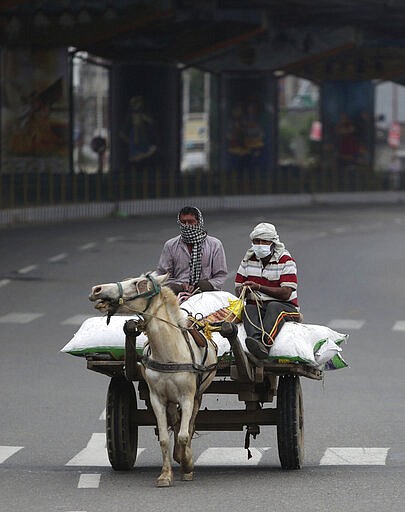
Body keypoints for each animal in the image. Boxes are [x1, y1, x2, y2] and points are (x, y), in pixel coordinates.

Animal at [89, 270, 218, 486]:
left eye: (138, 283)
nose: (96, 289)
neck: (169, 353)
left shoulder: (187, 396)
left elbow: (184, 435)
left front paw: (187, 465)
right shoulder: (157, 398)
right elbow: (164, 438)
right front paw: (165, 475)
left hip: (197, 395)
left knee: (190, 425)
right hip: (171, 400)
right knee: (175, 420)